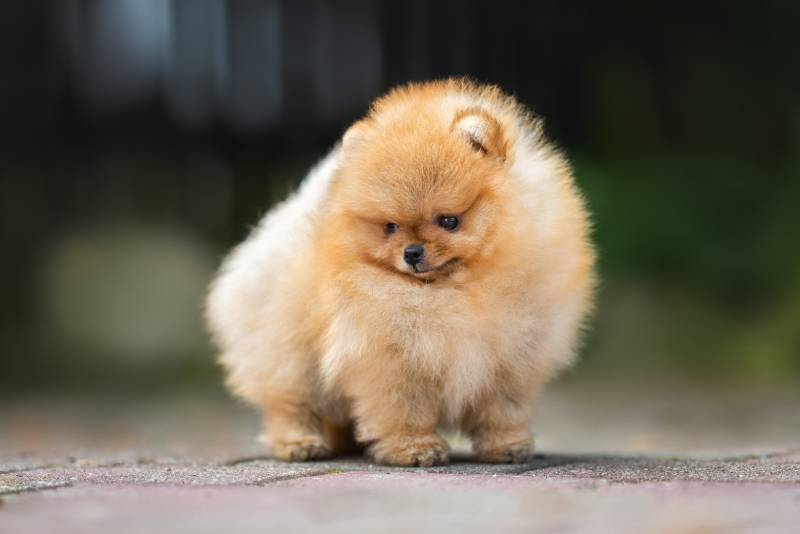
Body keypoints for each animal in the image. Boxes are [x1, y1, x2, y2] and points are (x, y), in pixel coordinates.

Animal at [206, 79, 592, 468]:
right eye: (390, 226)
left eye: (449, 220)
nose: (412, 253)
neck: (457, 289)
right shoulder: (393, 359)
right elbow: (403, 409)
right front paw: (414, 448)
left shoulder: (512, 356)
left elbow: (502, 409)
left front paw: (507, 445)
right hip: (290, 354)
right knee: (290, 403)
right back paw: (300, 443)